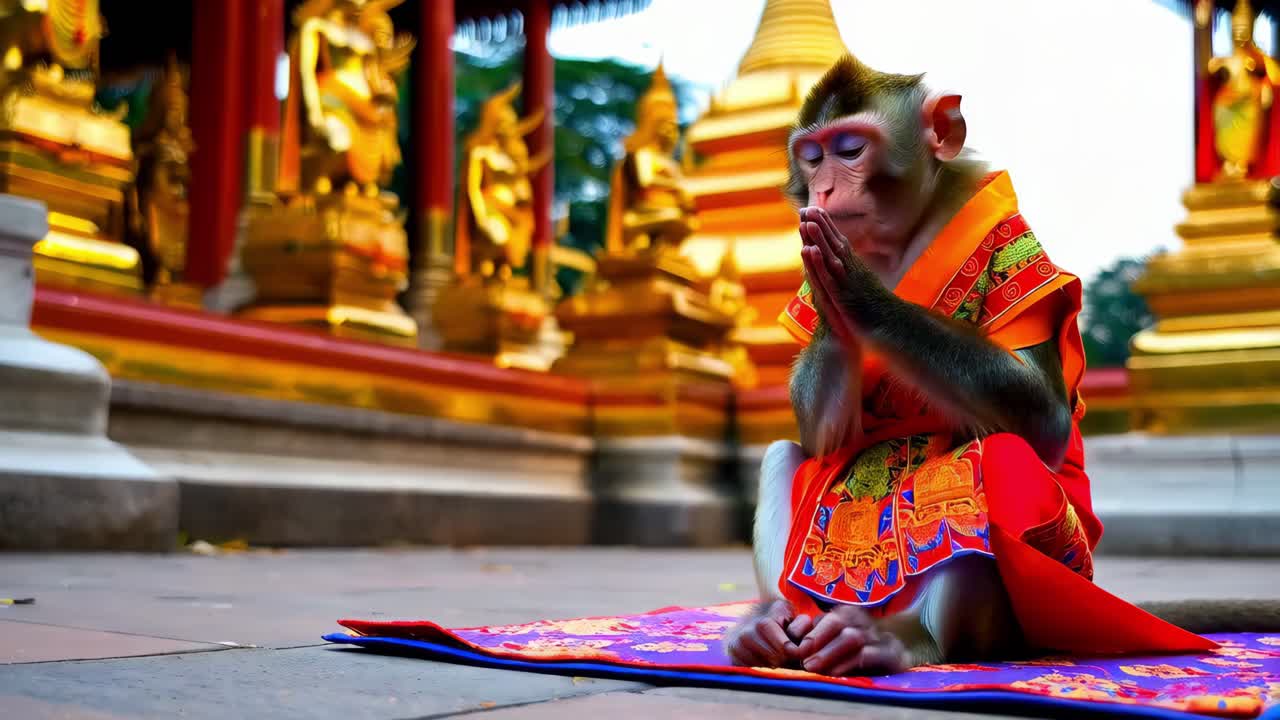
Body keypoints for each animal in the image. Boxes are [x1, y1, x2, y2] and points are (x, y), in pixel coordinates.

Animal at [724, 54, 1280, 677]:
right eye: (812, 155)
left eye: (849, 149)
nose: (822, 186)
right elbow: (826, 440)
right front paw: (831, 303)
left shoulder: (1016, 237)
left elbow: (1043, 420)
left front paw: (857, 293)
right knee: (784, 456)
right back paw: (775, 626)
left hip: (1049, 590)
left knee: (994, 458)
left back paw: (906, 644)